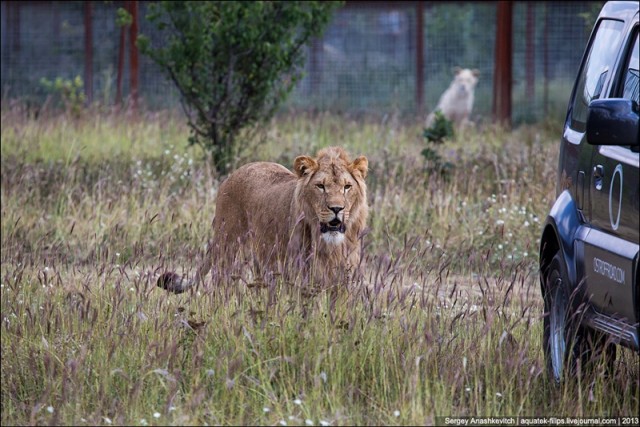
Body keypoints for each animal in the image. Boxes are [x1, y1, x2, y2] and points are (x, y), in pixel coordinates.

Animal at [158, 147, 370, 294]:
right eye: (320, 186)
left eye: (347, 187)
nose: (337, 209)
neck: (329, 245)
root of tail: (235, 173)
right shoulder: (299, 275)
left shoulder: (343, 278)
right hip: (228, 247)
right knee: (221, 284)